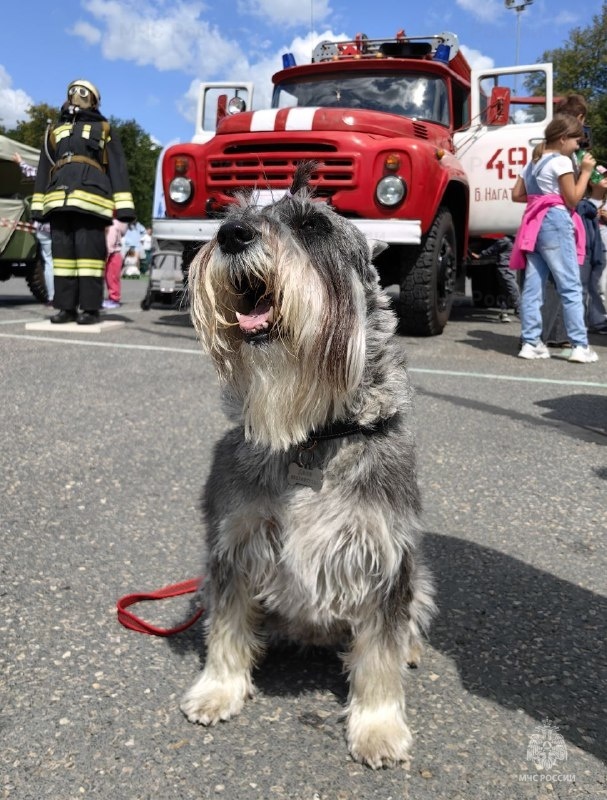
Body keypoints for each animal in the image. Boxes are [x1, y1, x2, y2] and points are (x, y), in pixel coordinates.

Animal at [183, 164, 434, 768]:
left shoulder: (387, 558)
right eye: (232, 214)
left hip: (421, 577)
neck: (312, 437)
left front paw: (378, 726)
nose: (230, 236)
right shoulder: (233, 544)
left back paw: (413, 648)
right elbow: (226, 625)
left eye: (312, 226)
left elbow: (379, 653)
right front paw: (217, 689)